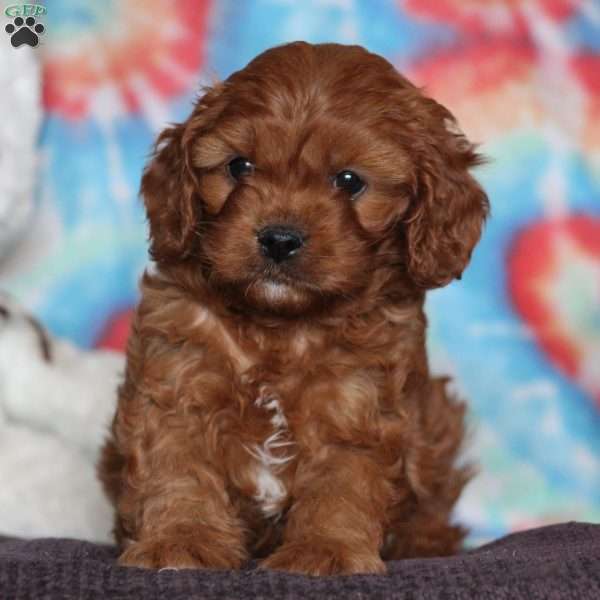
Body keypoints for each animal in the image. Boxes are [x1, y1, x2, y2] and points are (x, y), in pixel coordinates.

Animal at [98, 42, 488, 576]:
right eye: (239, 166)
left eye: (349, 181)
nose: (279, 239)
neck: (279, 328)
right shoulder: (176, 380)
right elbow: (177, 469)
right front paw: (180, 539)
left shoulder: (355, 404)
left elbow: (341, 485)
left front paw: (326, 550)